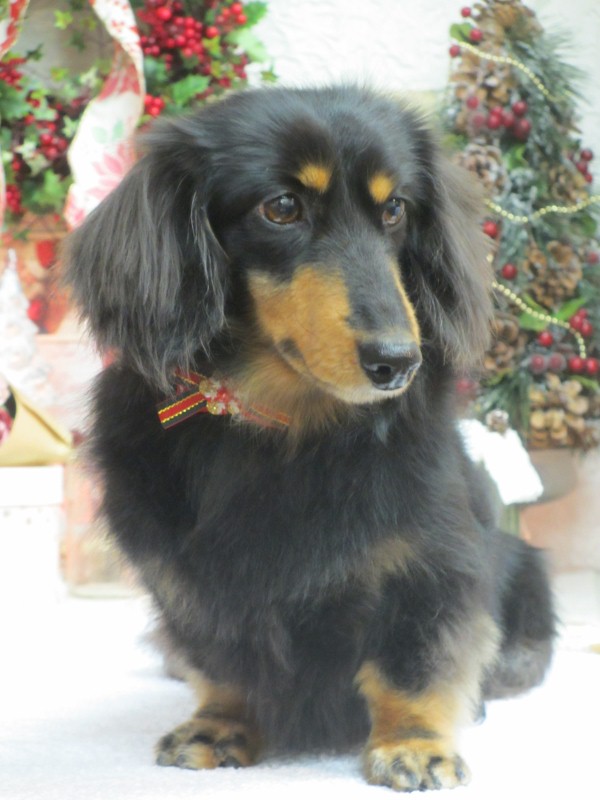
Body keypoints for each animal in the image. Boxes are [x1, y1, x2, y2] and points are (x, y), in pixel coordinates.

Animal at [64, 86, 555, 792]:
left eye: (395, 209)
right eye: (282, 206)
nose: (397, 361)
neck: (285, 421)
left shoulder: (430, 566)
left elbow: (410, 665)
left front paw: (413, 744)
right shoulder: (188, 580)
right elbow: (219, 661)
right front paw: (220, 724)